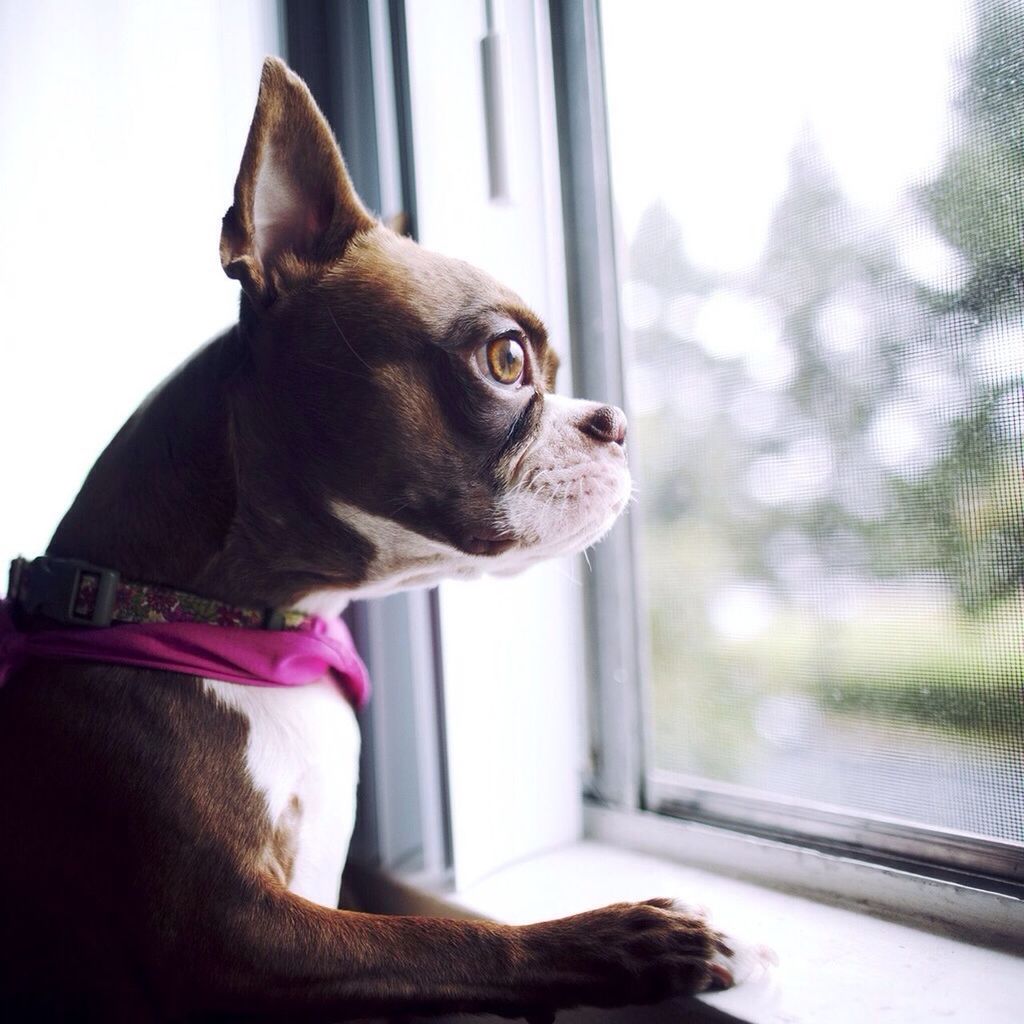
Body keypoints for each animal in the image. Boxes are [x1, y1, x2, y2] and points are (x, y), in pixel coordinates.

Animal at [0, 58, 761, 1024]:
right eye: (507, 360)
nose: (616, 423)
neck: (232, 624)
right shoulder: (225, 935)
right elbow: (440, 940)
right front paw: (613, 938)